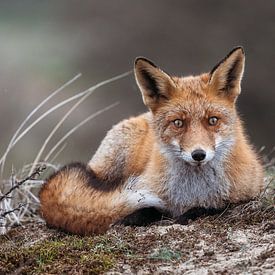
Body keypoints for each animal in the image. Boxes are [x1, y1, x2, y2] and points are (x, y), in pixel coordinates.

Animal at [39, 47, 266, 235]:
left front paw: (191, 213)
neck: (192, 191)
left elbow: (214, 207)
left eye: (212, 120)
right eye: (178, 123)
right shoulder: (146, 191)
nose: (198, 154)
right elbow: (146, 209)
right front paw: (134, 217)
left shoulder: (248, 193)